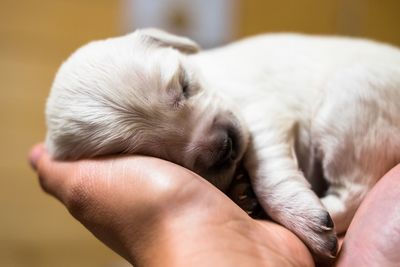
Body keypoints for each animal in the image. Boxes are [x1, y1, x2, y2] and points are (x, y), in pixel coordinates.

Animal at [45, 28, 400, 260]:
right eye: (159, 154)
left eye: (185, 85)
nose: (227, 146)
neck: (216, 81)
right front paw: (243, 193)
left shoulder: (261, 114)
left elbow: (269, 174)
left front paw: (297, 213)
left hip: (348, 104)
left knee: (356, 189)